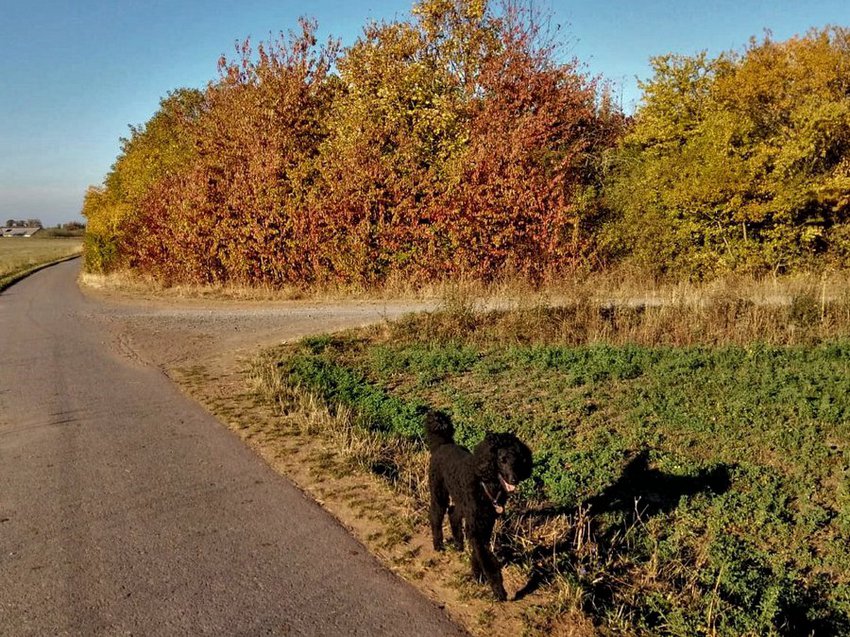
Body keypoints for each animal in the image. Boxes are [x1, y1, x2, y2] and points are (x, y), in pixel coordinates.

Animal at [424, 410, 528, 600]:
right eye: (502, 460)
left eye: (517, 460)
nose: (514, 479)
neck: (486, 484)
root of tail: (443, 445)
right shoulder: (477, 527)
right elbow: (487, 559)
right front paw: (498, 590)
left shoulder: (485, 524)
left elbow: (477, 553)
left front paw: (478, 576)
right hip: (439, 492)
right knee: (436, 515)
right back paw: (438, 545)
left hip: (461, 500)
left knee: (453, 513)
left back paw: (458, 545)